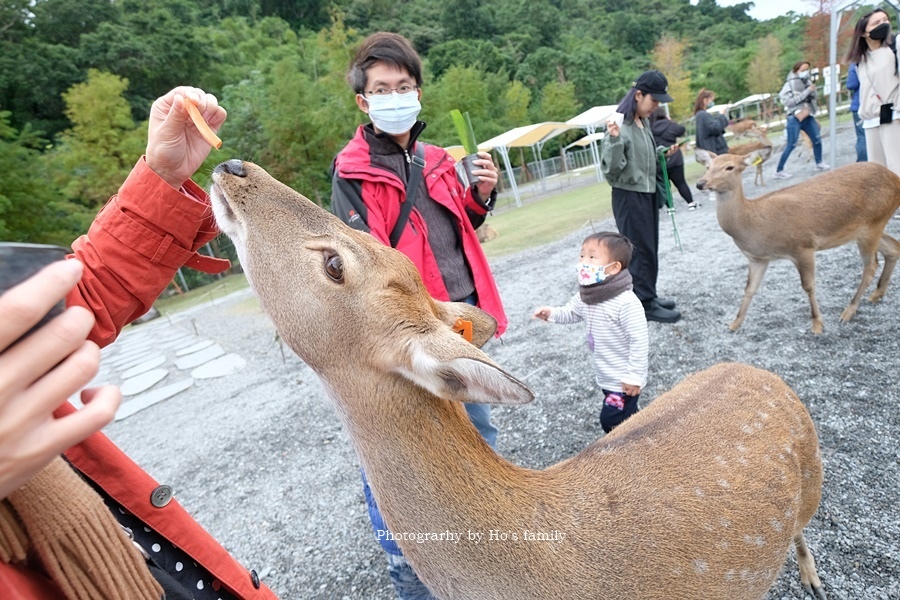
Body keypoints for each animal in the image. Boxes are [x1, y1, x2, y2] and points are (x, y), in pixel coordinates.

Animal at [696, 145, 900, 332]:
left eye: (729, 167)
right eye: (708, 166)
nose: (701, 183)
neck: (754, 224)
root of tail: (895, 179)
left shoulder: (803, 246)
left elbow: (808, 286)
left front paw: (817, 325)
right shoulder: (758, 258)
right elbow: (749, 289)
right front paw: (734, 324)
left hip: (873, 224)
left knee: (871, 265)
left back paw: (848, 311)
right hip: (866, 228)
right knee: (893, 247)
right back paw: (877, 294)